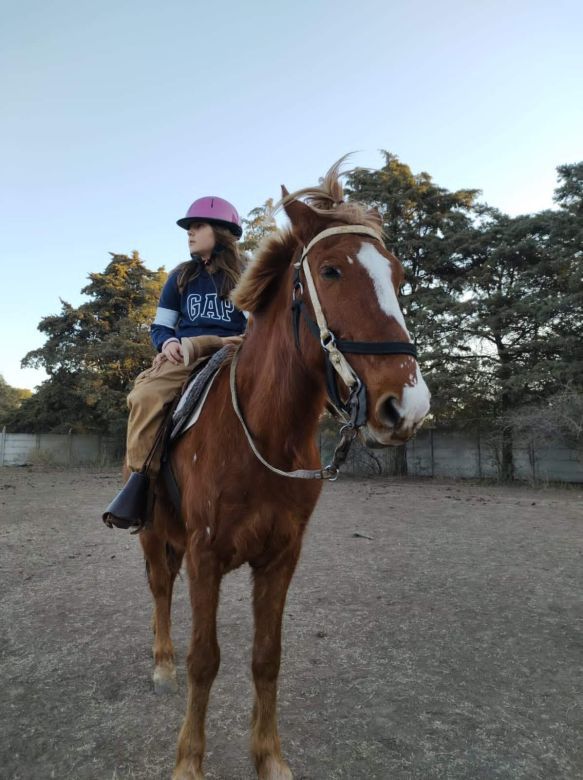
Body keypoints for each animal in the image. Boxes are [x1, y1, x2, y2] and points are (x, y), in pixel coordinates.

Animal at [138, 160, 428, 780]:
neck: (264, 437)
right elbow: (204, 659)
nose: (408, 406)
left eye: (396, 275)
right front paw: (189, 761)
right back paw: (162, 664)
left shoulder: (280, 557)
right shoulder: (204, 554)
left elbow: (267, 657)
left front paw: (269, 757)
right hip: (152, 532)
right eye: (331, 269)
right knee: (159, 589)